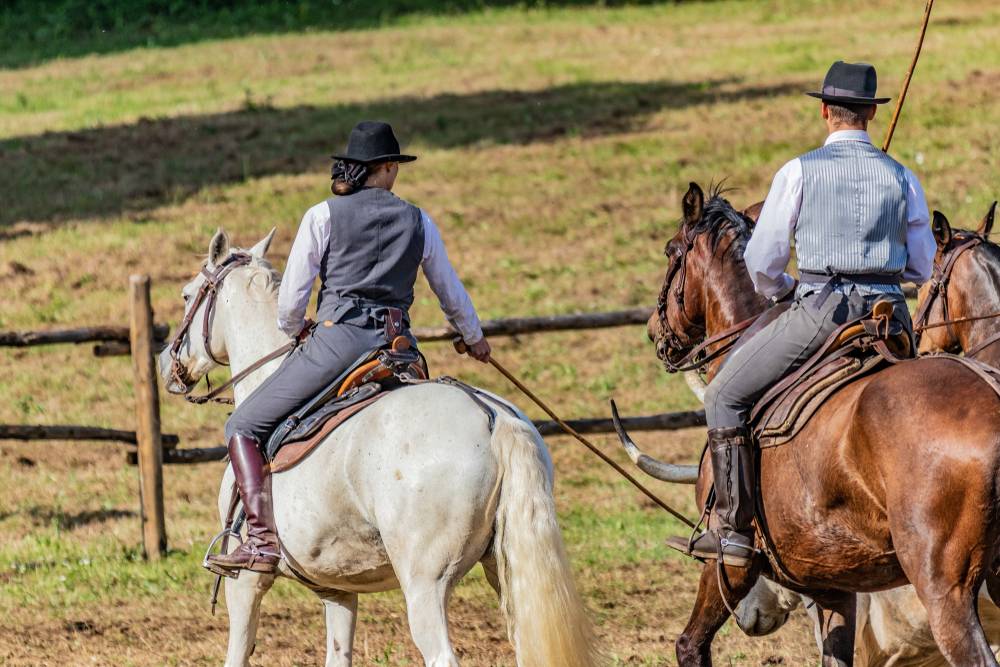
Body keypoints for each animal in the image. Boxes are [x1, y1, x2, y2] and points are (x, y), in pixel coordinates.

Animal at [158, 231, 600, 667]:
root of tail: (491, 415)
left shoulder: (247, 582)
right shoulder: (337, 589)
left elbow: (238, 651)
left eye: (186, 295)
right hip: (505, 569)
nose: (166, 364)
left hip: (425, 584)